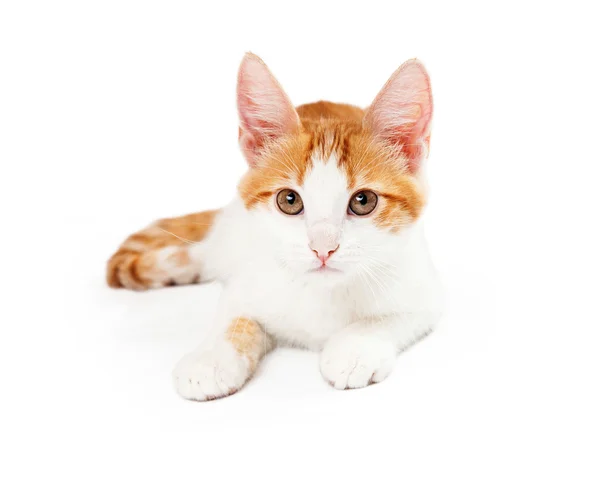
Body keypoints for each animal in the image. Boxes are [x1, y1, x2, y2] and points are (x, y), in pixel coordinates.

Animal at [108, 53, 442, 402]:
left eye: (363, 201)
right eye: (289, 200)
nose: (323, 248)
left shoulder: (424, 289)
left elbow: (392, 318)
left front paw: (353, 350)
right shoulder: (247, 278)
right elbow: (234, 313)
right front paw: (211, 359)